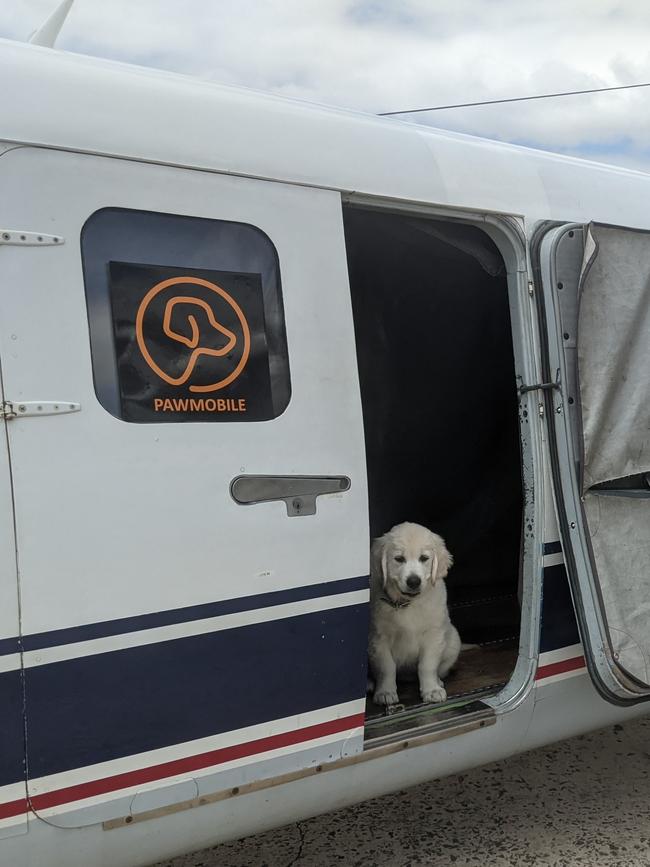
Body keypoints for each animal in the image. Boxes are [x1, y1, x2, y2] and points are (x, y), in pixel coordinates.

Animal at [368, 524, 458, 704]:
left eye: (424, 558)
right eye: (399, 559)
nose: (414, 581)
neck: (407, 603)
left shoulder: (433, 634)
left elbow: (427, 665)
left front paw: (432, 690)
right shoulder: (378, 638)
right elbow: (387, 667)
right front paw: (385, 692)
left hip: (453, 642)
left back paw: (438, 681)